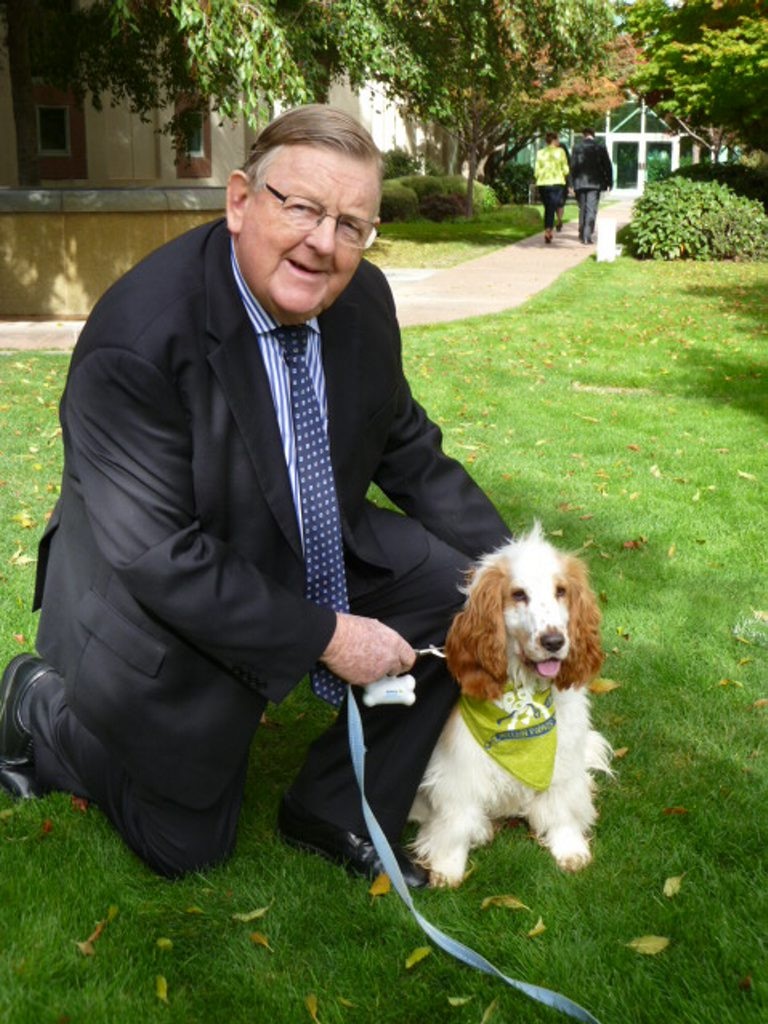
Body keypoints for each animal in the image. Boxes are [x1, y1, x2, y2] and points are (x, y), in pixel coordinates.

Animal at [411, 524, 618, 884]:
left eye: (561, 591)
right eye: (519, 594)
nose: (554, 641)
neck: (524, 692)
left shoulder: (563, 758)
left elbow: (562, 807)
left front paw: (570, 848)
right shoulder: (458, 769)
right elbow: (454, 821)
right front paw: (447, 866)